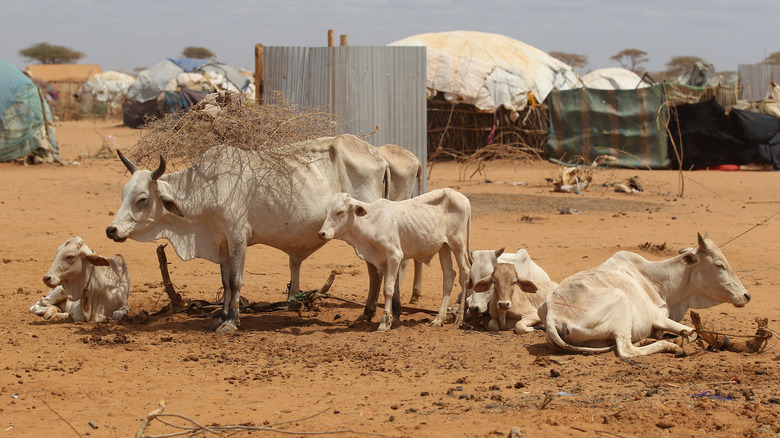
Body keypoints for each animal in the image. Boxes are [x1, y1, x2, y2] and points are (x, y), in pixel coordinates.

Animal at [106, 135, 394, 334]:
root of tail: (379, 156)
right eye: (122, 194)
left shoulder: (237, 236)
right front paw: (220, 317)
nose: (111, 230)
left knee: (375, 271)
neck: (205, 188)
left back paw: (373, 314)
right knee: (375, 271)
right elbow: (224, 282)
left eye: (142, 199)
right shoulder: (222, 241)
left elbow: (235, 281)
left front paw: (232, 321)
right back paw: (368, 314)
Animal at [318, 188, 476, 332]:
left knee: (465, 272)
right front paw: (392, 319)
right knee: (449, 275)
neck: (371, 222)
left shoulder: (394, 256)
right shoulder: (383, 262)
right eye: (326, 212)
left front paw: (384, 323)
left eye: (340, 212)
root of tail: (463, 198)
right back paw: (438, 319)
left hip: (457, 243)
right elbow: (391, 289)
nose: (322, 233)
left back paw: (459, 317)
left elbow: (388, 290)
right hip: (444, 246)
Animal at [540, 233, 752, 356]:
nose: (746, 296)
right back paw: (669, 346)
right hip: (622, 303)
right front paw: (680, 340)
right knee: (626, 350)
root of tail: (553, 314)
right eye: (719, 265)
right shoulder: (658, 317)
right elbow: (692, 333)